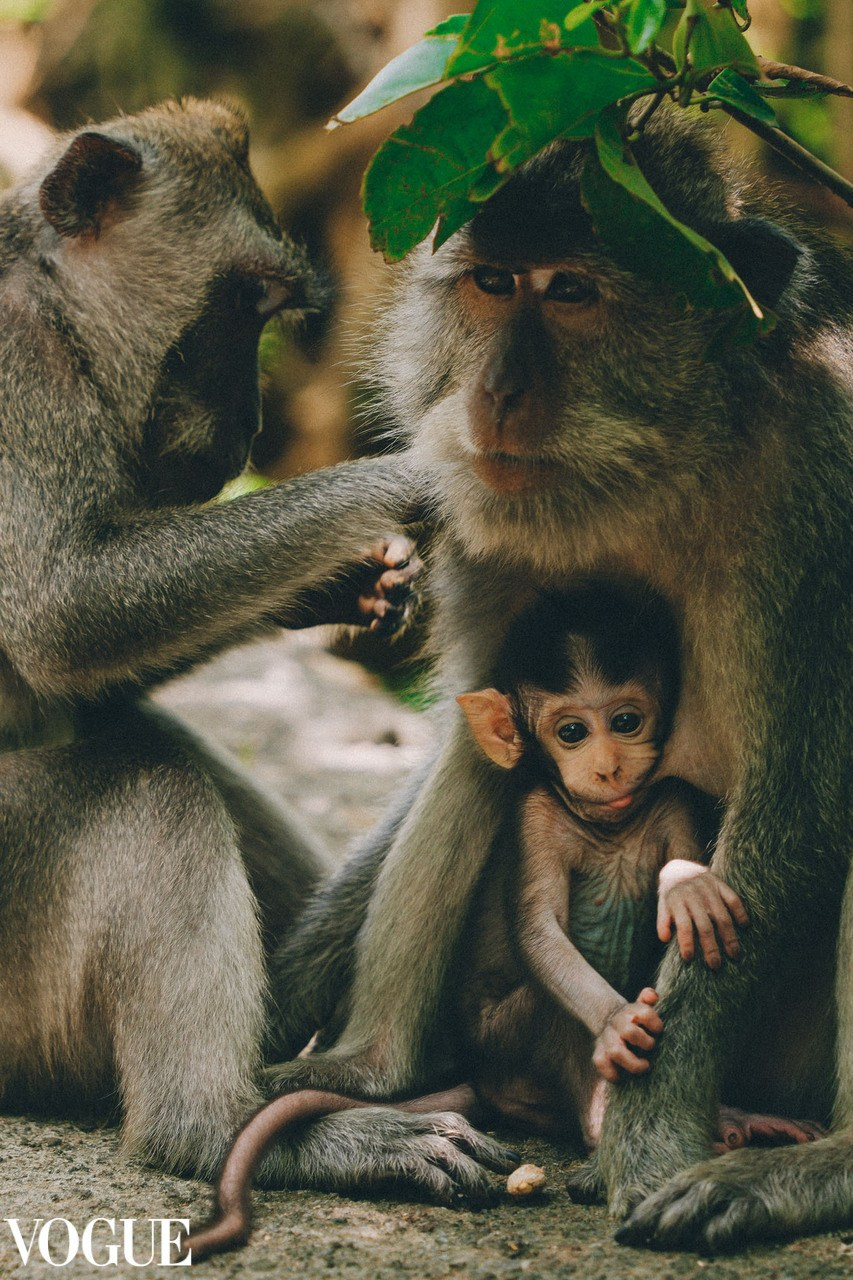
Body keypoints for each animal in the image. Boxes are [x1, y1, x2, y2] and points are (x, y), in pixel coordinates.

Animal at [0, 99, 517, 1199]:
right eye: (240, 304)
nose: (248, 423)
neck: (50, 308)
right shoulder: (17, 377)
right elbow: (63, 613)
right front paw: (414, 478)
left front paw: (340, 581)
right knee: (151, 787)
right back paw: (229, 1129)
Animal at [265, 107, 853, 1250]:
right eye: (493, 283)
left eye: (572, 291)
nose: (495, 393)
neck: (663, 465)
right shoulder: (483, 520)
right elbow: (476, 732)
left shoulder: (818, 504)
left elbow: (799, 808)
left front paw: (650, 1140)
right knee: (477, 762)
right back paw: (368, 1074)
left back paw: (814, 1161)